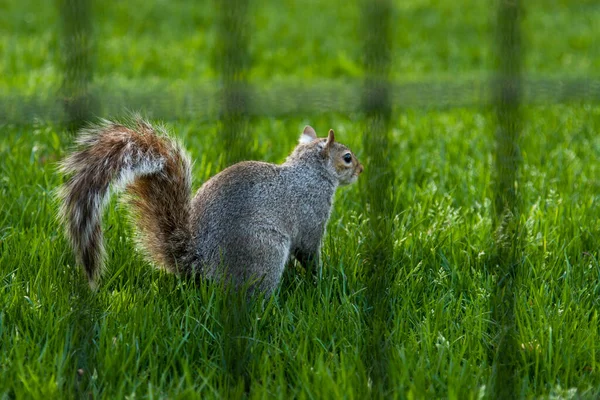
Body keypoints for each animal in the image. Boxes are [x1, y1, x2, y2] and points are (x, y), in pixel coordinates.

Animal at [58, 117, 364, 296]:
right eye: (347, 157)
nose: (361, 170)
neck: (309, 172)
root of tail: (200, 262)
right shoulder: (311, 215)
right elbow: (309, 252)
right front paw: (320, 281)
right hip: (264, 250)